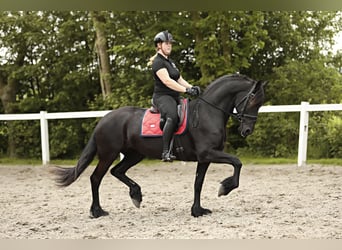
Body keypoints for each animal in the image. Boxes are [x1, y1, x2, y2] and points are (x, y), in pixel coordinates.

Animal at [52, 73, 268, 218]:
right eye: (252, 100)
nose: (247, 130)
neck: (208, 112)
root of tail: (104, 120)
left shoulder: (205, 158)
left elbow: (198, 183)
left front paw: (197, 210)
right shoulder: (209, 153)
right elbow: (237, 162)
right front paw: (225, 187)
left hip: (134, 154)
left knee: (117, 171)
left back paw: (136, 195)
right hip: (108, 153)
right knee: (96, 178)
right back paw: (97, 211)